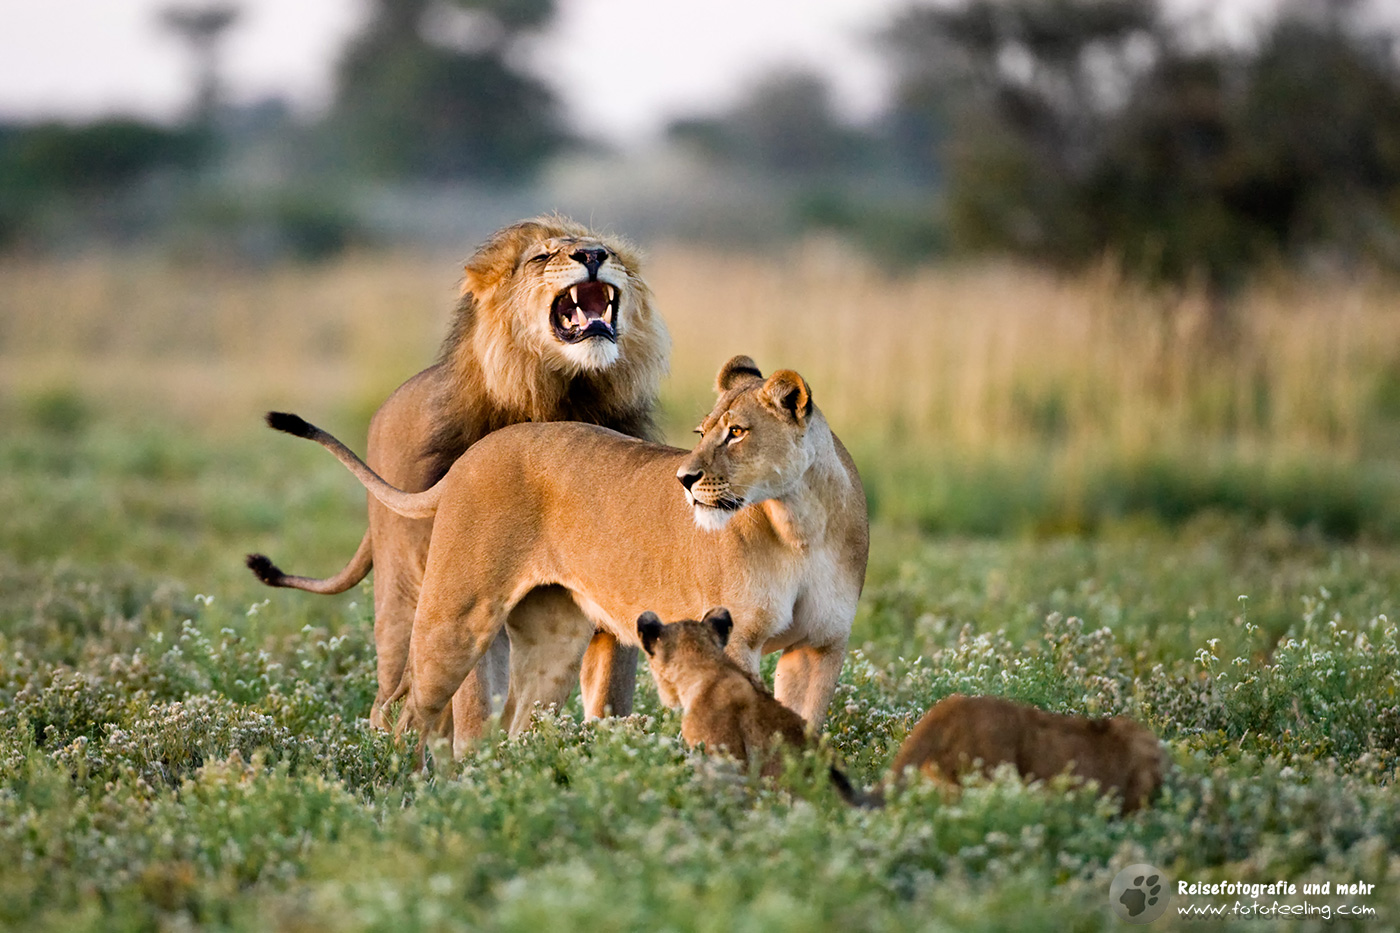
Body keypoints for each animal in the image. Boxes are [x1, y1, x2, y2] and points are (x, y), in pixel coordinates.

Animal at [246, 215, 670, 736]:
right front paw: (479, 755)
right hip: (404, 599)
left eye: (611, 252)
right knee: (392, 696)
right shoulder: (476, 598)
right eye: (541, 256)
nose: (592, 255)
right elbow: (475, 704)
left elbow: (608, 700)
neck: (563, 398)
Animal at [259, 355, 868, 757]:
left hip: (553, 643)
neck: (800, 525)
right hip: (455, 616)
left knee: (512, 723)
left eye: (737, 433)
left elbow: (804, 725)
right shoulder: (736, 640)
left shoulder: (820, 646)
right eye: (703, 432)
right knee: (407, 712)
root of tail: (473, 453)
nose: (685, 478)